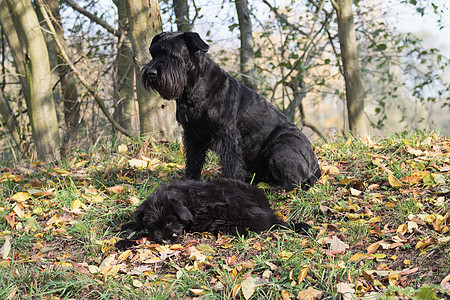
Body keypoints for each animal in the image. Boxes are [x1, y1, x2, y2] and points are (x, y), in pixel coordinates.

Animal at [117, 178, 310, 248]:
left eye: (170, 221)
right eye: (152, 225)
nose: (165, 239)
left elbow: (143, 238)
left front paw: (123, 242)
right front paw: (128, 225)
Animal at [142, 31, 322, 190]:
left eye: (172, 54)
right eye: (154, 53)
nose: (151, 73)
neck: (194, 88)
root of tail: (315, 168)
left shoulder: (228, 136)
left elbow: (231, 164)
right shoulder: (192, 135)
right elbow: (193, 161)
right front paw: (189, 181)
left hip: (280, 149)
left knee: (293, 184)